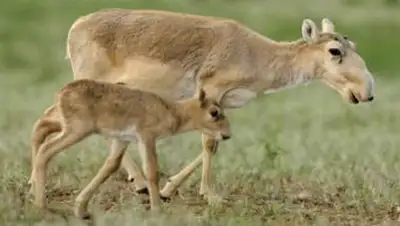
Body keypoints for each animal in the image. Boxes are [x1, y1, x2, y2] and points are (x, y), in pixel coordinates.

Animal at [28, 78, 244, 218]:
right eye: (214, 112)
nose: (227, 135)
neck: (171, 111)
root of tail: (62, 93)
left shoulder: (122, 140)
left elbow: (110, 167)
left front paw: (81, 209)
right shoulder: (146, 137)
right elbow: (152, 171)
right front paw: (157, 210)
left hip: (68, 127)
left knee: (42, 133)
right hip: (77, 131)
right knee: (45, 150)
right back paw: (41, 207)